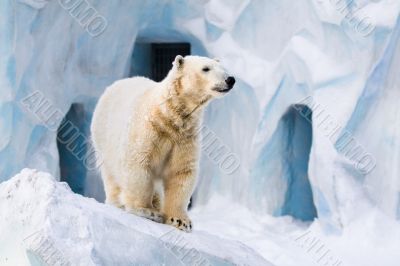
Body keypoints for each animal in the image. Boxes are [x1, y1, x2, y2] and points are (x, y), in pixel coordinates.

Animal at [90, 55, 234, 232]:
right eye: (206, 68)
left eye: (223, 68)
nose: (230, 79)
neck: (168, 115)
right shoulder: (149, 130)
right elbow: (139, 163)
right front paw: (145, 210)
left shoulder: (185, 138)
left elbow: (181, 171)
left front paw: (180, 220)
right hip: (103, 138)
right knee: (111, 175)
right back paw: (119, 203)